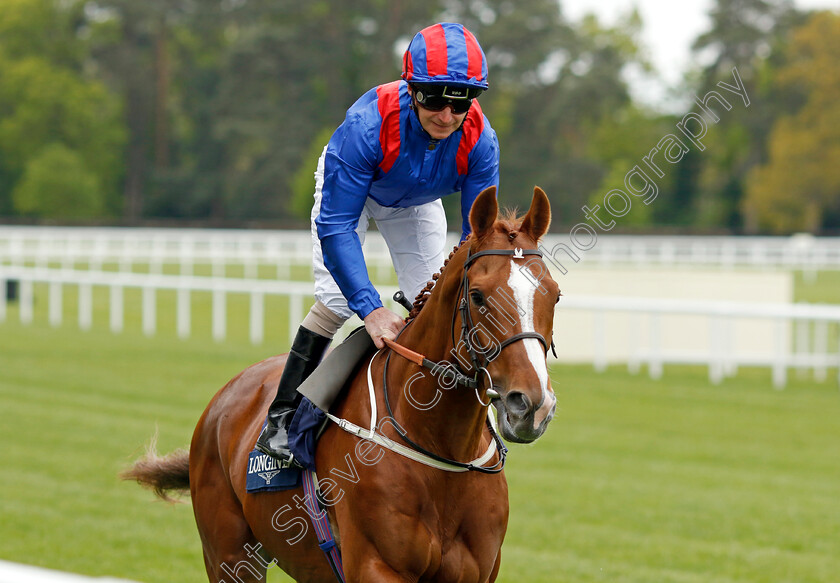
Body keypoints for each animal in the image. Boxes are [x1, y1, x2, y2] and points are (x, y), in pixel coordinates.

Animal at [126, 188, 556, 583]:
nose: (531, 405)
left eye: (554, 295)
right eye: (478, 296)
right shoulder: (376, 567)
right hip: (228, 557)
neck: (441, 449)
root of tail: (225, 397)